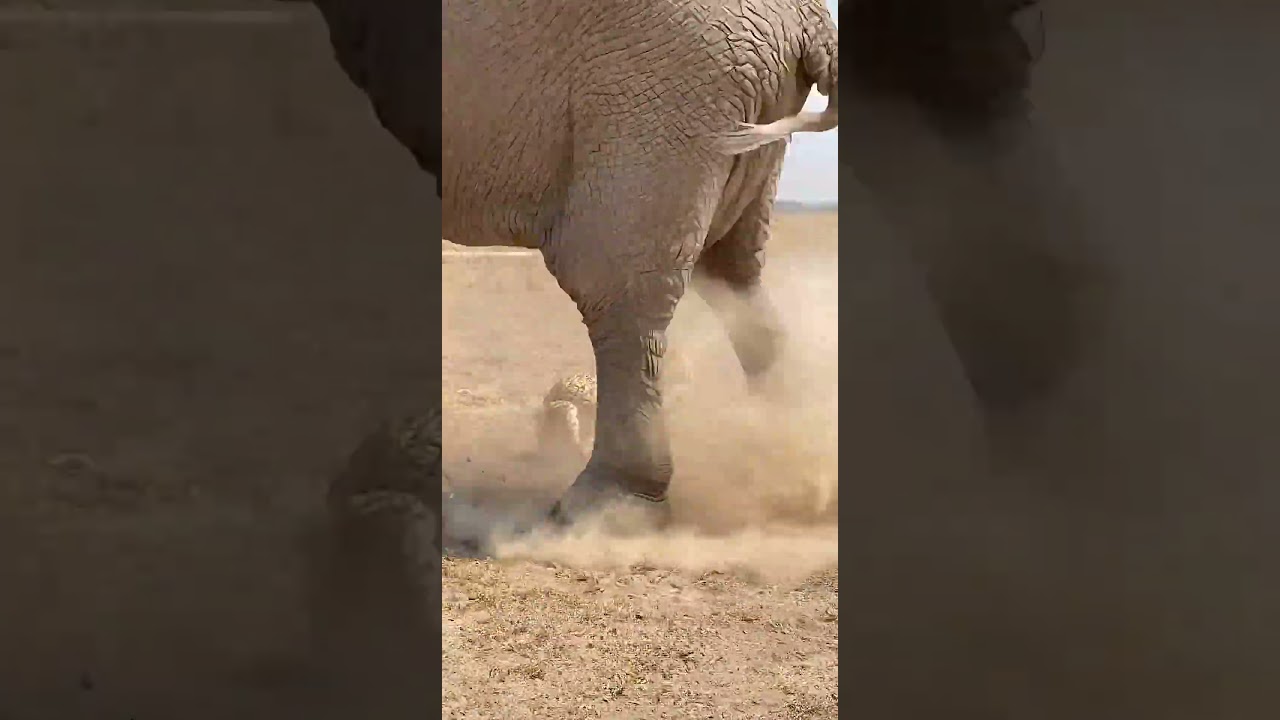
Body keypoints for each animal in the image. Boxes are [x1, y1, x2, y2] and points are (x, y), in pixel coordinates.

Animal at [296, 0, 839, 526]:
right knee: (733, 276)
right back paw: (788, 476)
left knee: (615, 292)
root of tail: (811, 20)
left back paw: (605, 507)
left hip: (663, 97)